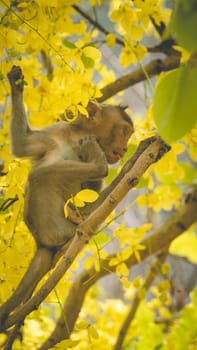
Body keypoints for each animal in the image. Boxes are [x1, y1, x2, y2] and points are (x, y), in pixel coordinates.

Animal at [0, 66, 134, 326]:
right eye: (124, 132)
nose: (124, 149)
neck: (76, 138)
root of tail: (42, 243)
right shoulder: (58, 131)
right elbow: (22, 145)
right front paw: (16, 84)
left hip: (56, 228)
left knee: (41, 176)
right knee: (41, 176)